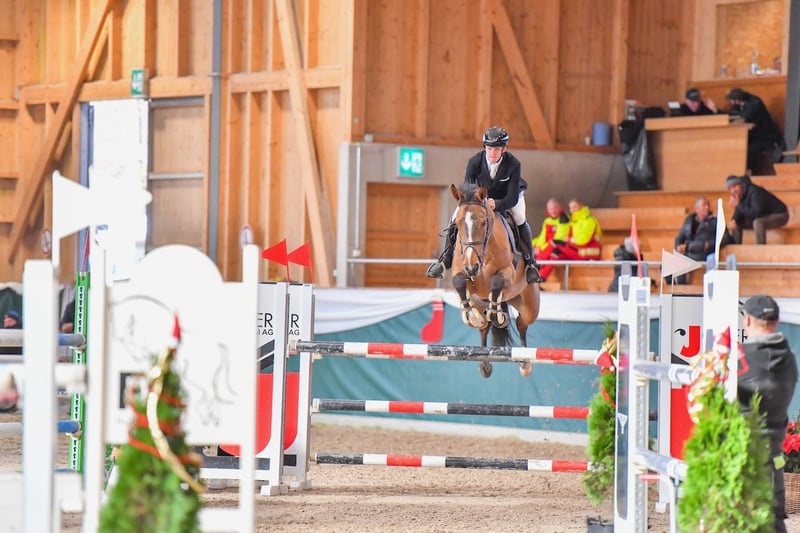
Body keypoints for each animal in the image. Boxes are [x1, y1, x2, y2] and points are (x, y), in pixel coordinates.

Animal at [449, 182, 541, 378]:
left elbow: (496, 283)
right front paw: (471, 316)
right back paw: (484, 363)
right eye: (457, 223)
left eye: (484, 222)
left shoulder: (508, 274)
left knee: (522, 323)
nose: (472, 267)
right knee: (484, 327)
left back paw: (525, 363)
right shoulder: (461, 272)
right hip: (481, 301)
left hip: (530, 305)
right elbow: (459, 282)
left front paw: (497, 314)